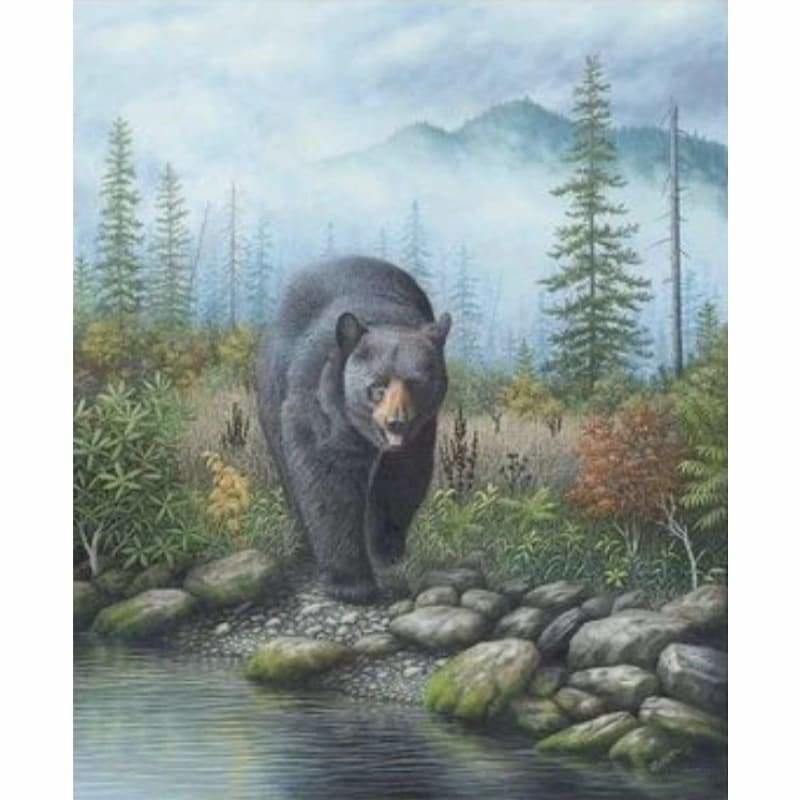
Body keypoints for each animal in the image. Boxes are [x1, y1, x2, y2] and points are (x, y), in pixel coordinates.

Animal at [256, 256, 451, 603]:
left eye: (415, 383)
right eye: (377, 387)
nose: (396, 422)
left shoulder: (422, 428)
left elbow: (402, 478)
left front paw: (388, 555)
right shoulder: (320, 399)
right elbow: (328, 476)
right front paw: (351, 582)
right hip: (271, 391)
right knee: (287, 470)